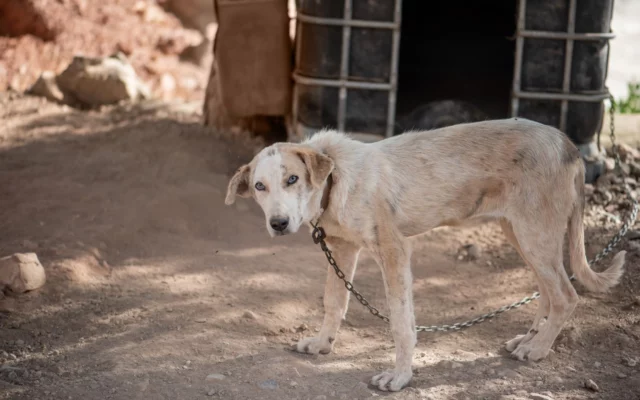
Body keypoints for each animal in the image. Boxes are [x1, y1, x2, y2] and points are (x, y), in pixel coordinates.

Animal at [224, 118, 624, 390]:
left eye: (292, 179)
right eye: (259, 186)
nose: (278, 223)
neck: (334, 180)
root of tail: (566, 142)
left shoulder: (394, 252)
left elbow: (402, 323)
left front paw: (400, 377)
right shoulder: (342, 248)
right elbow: (334, 302)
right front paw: (323, 344)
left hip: (534, 234)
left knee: (566, 295)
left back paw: (538, 348)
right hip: (520, 233)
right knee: (547, 291)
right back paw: (528, 339)